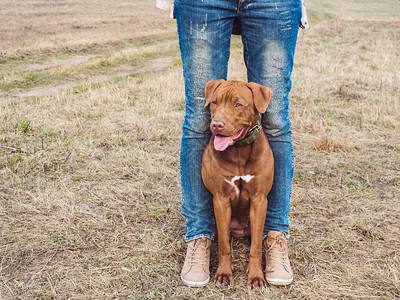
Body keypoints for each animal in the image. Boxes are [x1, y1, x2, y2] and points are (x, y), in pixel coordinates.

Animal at [202, 79, 274, 288]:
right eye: (215, 102)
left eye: (238, 104)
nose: (217, 125)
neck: (238, 151)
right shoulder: (220, 200)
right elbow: (224, 245)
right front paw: (224, 273)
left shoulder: (259, 200)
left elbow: (256, 246)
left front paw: (256, 276)